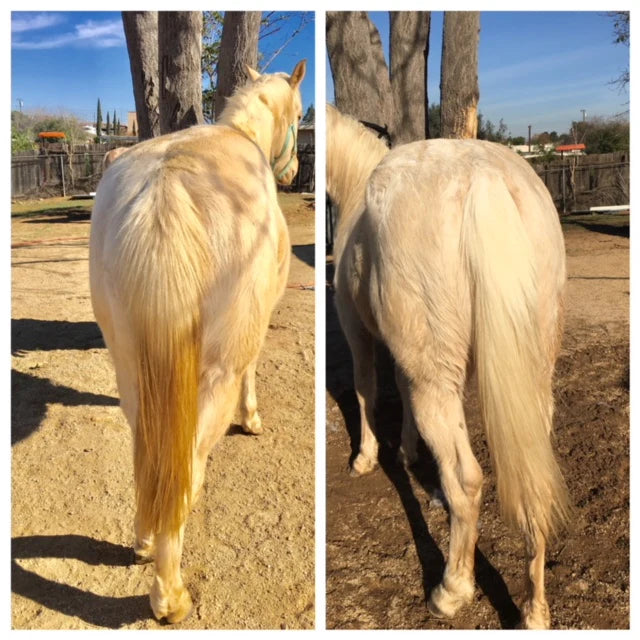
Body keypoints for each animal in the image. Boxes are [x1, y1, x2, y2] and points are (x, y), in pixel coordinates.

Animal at [89, 60, 306, 624]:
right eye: (301, 114)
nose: (294, 173)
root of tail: (166, 188)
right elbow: (253, 371)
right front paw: (252, 420)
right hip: (212, 376)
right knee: (186, 465)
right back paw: (170, 596)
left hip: (129, 367)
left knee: (148, 451)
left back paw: (145, 540)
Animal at [326, 104, 570, 630]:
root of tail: (485, 178)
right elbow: (396, 389)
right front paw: (410, 451)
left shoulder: (358, 331)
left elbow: (364, 388)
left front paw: (366, 457)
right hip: (532, 383)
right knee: (535, 483)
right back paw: (534, 609)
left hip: (437, 383)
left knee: (466, 480)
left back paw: (451, 590)